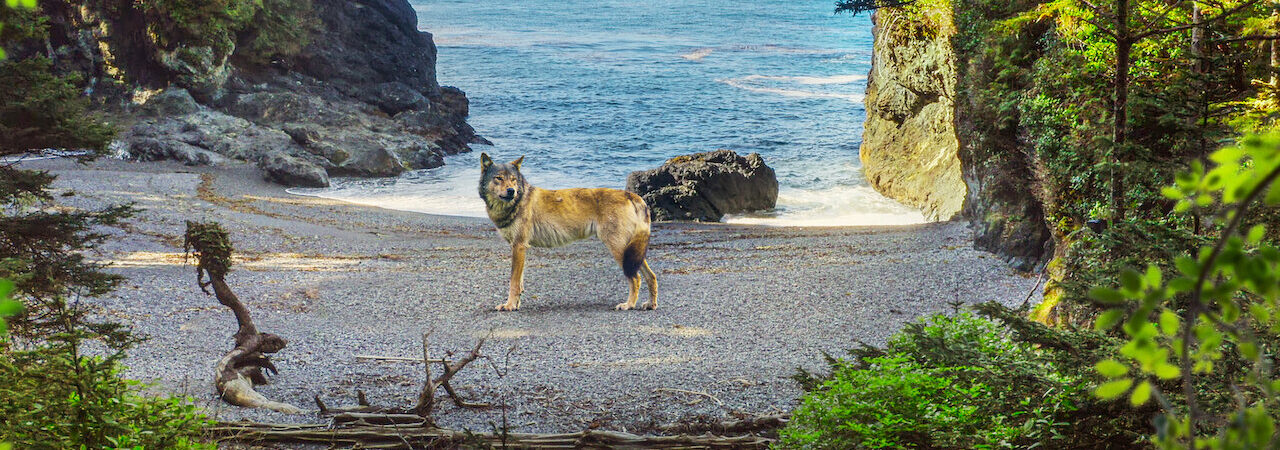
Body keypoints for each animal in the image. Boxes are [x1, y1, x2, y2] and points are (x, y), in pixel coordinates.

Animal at [481, 152, 660, 310]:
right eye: (499, 178)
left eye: (513, 180)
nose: (512, 191)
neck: (518, 202)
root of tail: (631, 194)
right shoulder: (520, 248)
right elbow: (520, 283)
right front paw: (516, 305)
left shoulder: (518, 247)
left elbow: (513, 282)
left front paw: (509, 306)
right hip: (632, 254)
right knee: (651, 276)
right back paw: (651, 304)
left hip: (620, 251)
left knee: (636, 278)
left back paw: (629, 305)